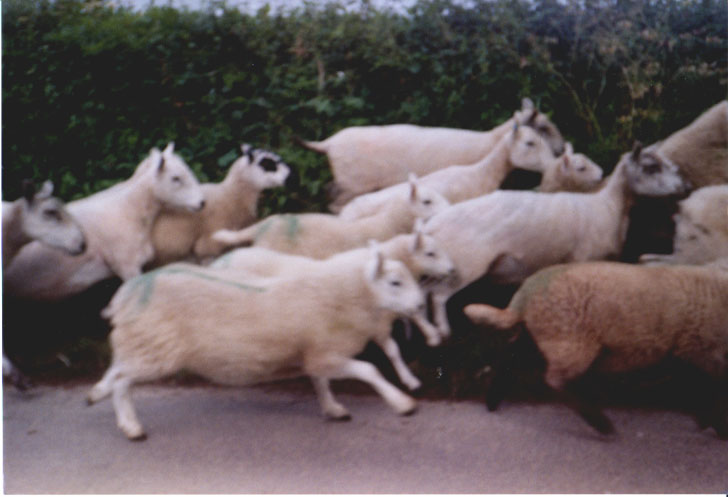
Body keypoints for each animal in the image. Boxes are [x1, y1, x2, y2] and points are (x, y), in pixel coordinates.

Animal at [87, 245, 426, 440]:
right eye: (395, 282)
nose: (421, 305)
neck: (339, 292)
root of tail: (127, 293)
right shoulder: (326, 352)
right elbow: (369, 370)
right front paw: (403, 403)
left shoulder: (314, 349)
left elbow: (320, 380)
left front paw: (333, 408)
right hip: (155, 346)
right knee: (123, 381)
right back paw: (131, 427)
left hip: (143, 342)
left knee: (118, 370)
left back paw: (97, 394)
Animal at [297, 98, 565, 211]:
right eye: (543, 127)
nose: (562, 149)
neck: (489, 142)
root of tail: (329, 143)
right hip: (352, 185)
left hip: (345, 182)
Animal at [423, 142, 689, 336]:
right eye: (651, 167)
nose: (685, 186)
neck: (609, 208)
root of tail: (432, 225)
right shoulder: (583, 259)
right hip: (464, 266)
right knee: (438, 298)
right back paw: (444, 333)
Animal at [463, 261, 728, 439]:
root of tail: (524, 296)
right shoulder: (699, 348)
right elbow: (711, 388)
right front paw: (716, 425)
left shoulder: (688, 351)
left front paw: (706, 421)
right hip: (571, 340)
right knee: (556, 380)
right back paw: (601, 424)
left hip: (538, 335)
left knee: (511, 360)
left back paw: (492, 402)